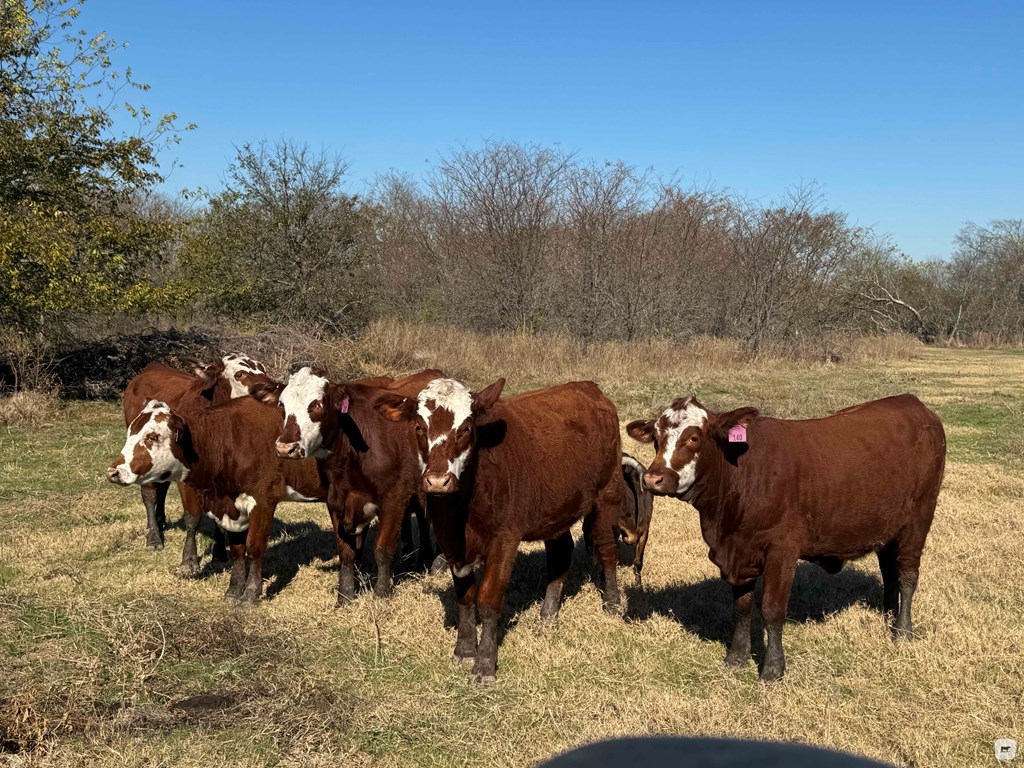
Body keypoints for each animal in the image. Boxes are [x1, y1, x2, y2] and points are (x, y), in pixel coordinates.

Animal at [626, 393, 946, 684]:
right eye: (656, 437)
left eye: (694, 438)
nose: (653, 479)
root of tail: (912, 403)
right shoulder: (738, 553)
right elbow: (742, 607)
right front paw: (736, 657)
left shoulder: (782, 551)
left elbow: (771, 609)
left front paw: (772, 668)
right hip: (887, 528)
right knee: (890, 573)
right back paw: (889, 619)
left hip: (919, 518)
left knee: (907, 575)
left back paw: (903, 631)